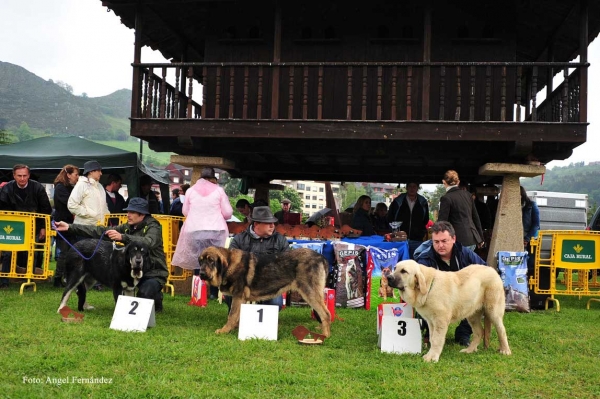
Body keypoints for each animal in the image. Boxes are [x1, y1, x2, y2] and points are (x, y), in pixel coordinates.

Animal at [197, 247, 330, 338]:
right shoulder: (241, 299)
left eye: (211, 261)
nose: (201, 274)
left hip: (310, 292)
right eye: (201, 261)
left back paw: (325, 335)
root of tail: (321, 257)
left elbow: (232, 315)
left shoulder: (238, 296)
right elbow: (236, 315)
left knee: (325, 313)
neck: (229, 264)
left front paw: (225, 330)